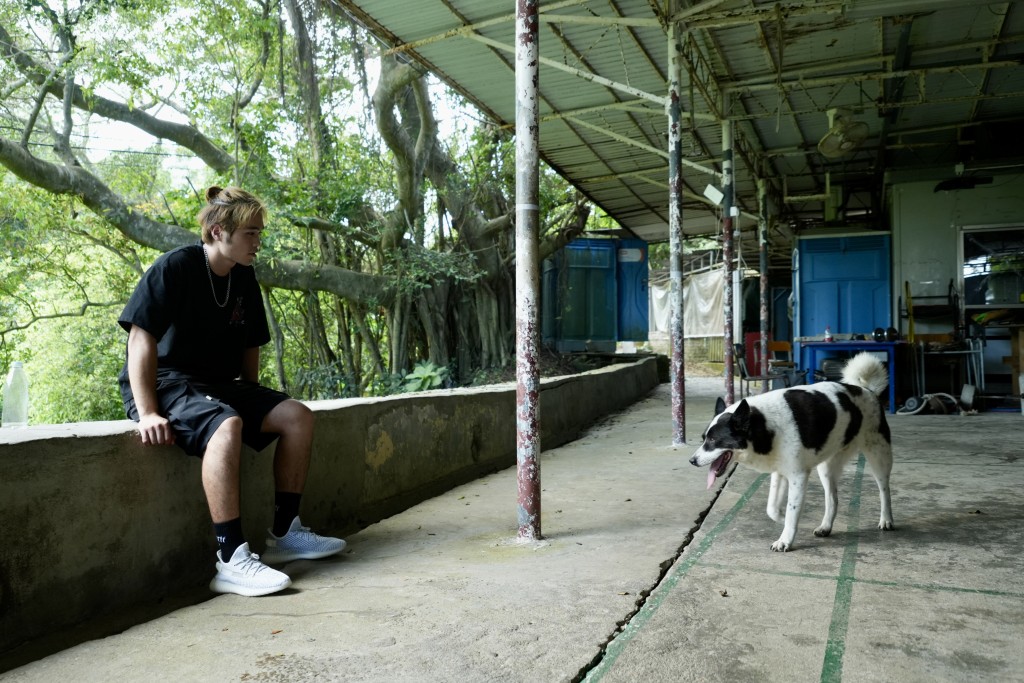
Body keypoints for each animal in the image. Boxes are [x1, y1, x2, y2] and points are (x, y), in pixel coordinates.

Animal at [688, 350, 897, 552]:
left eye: (713, 440)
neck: (764, 424)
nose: (692, 461)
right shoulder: (780, 472)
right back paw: (825, 526)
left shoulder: (798, 476)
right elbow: (772, 509)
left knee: (884, 489)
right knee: (832, 499)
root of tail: (867, 390)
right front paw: (782, 518)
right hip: (826, 468)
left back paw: (886, 519)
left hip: (879, 456)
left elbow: (792, 509)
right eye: (703, 438)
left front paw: (785, 539)